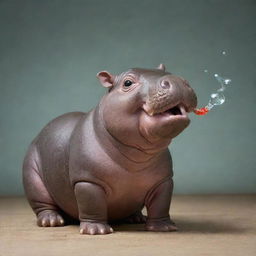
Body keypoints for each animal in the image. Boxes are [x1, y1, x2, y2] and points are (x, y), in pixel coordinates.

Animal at [23, 64, 197, 234]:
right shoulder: (88, 180)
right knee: (43, 204)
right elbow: (92, 204)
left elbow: (161, 204)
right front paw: (96, 230)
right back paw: (51, 221)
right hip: (33, 176)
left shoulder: (164, 181)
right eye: (127, 83)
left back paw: (137, 218)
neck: (136, 156)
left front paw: (164, 227)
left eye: (168, 71)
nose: (176, 80)